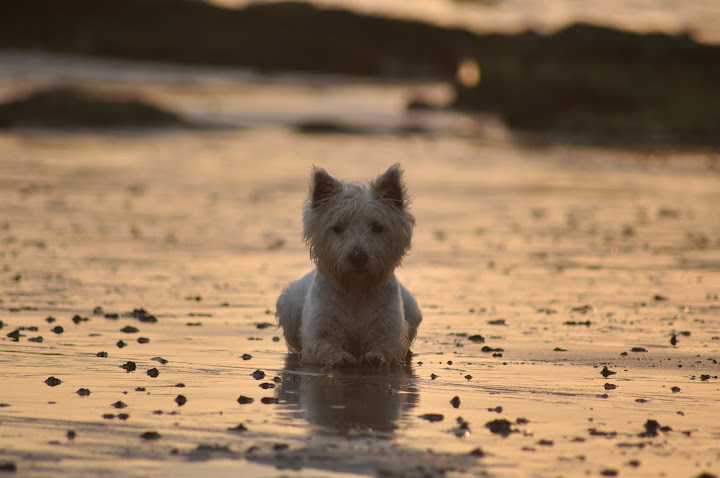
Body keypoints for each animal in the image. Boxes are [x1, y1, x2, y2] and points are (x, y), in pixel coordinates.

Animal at [276, 162, 422, 368]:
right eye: (338, 228)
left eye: (377, 227)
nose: (358, 257)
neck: (356, 290)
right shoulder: (320, 330)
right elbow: (325, 346)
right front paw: (341, 357)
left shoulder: (389, 328)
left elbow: (387, 346)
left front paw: (374, 358)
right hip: (288, 305)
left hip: (412, 309)